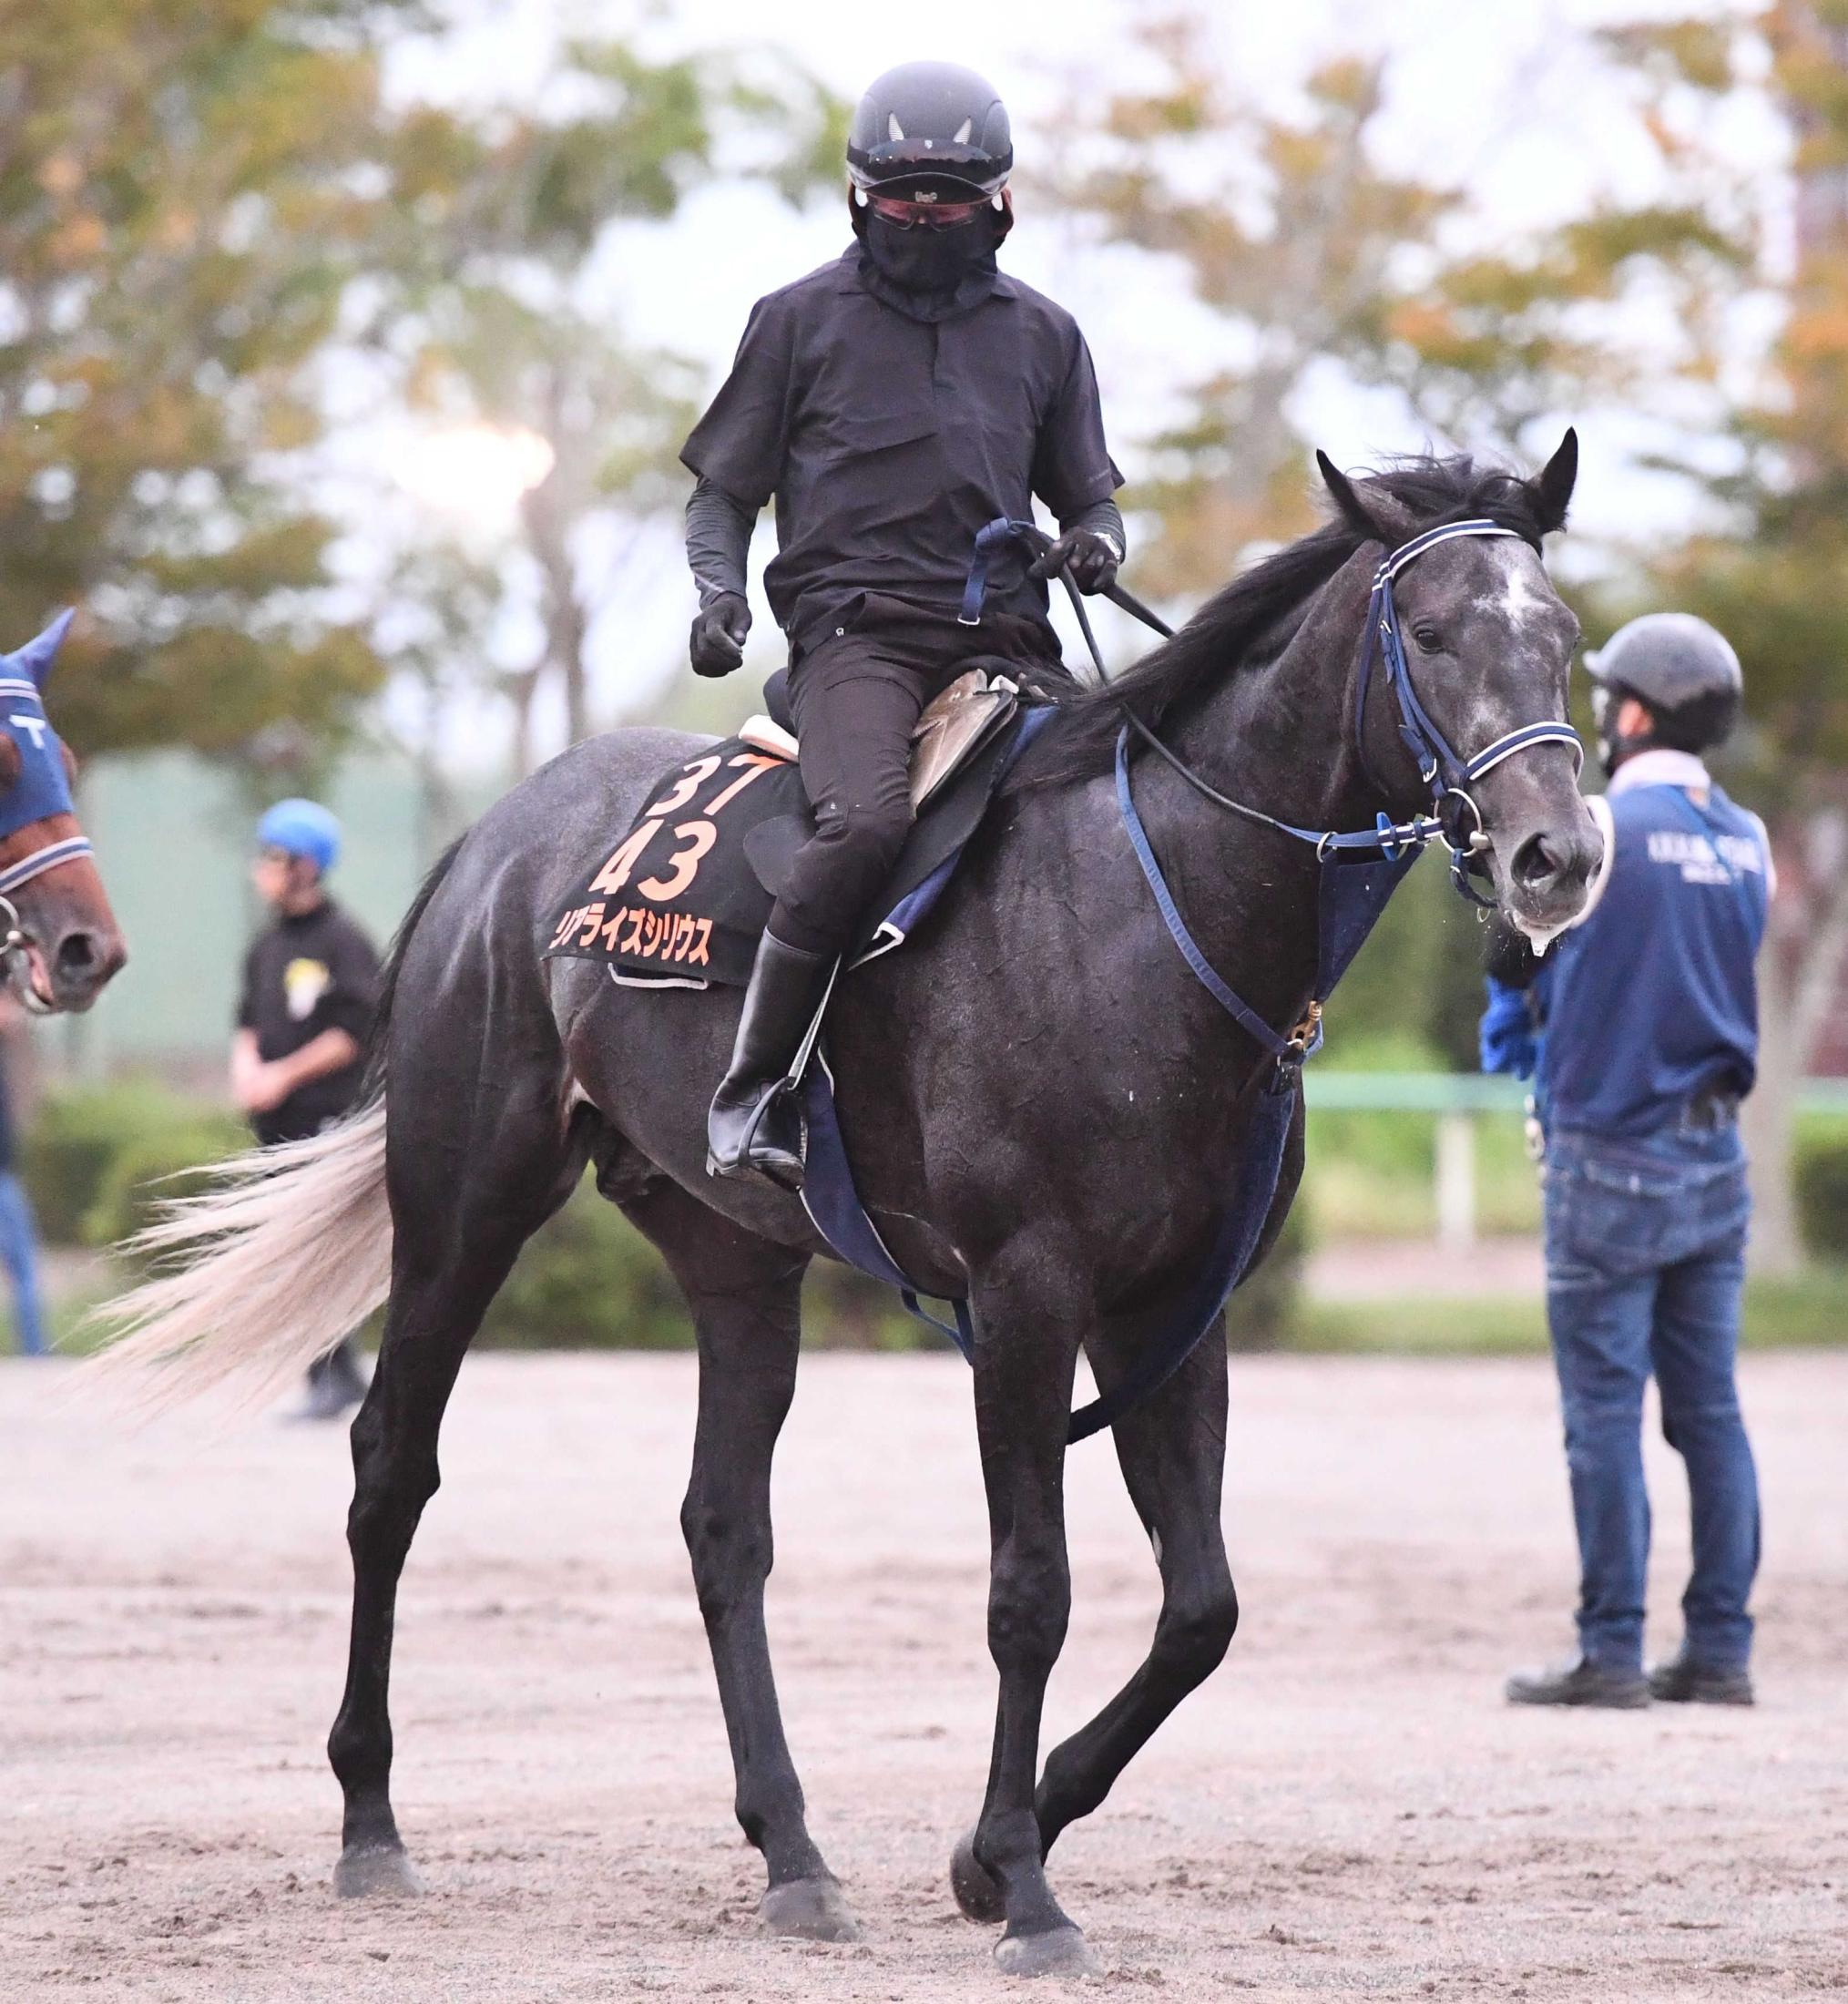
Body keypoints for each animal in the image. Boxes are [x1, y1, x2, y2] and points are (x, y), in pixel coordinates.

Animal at [96, 440, 1600, 1977]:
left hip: (736, 1265)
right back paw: (370, 1821)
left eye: (1561, 636)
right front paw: (1024, 1884)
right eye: (1431, 633)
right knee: (392, 1468)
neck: (1147, 900)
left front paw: (1002, 1849)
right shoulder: (1026, 1296)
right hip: (465, 1206)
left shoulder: (1168, 1309)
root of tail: (496, 842)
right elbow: (1031, 1593)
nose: (1556, 853)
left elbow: (1200, 1607)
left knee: (723, 1530)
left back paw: (794, 1853)